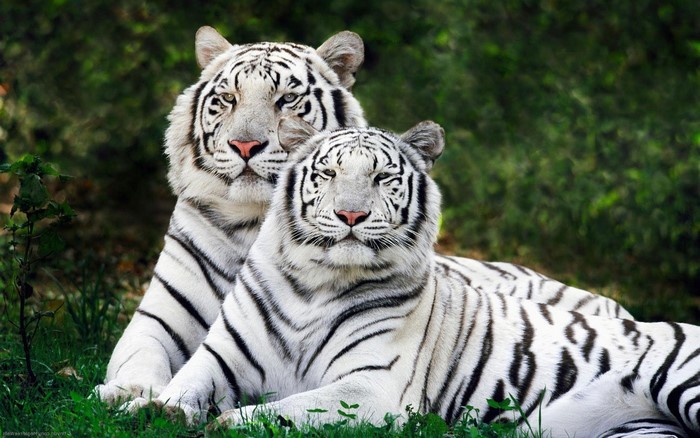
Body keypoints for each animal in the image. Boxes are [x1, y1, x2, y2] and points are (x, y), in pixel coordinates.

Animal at [96, 26, 631, 405]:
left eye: (287, 99)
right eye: (227, 99)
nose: (245, 145)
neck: (254, 222)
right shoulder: (158, 319)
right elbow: (139, 357)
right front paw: (126, 393)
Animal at [128, 119, 697, 437]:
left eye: (382, 177)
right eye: (328, 174)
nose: (351, 215)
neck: (315, 283)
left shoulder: (372, 386)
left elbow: (286, 408)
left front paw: (229, 423)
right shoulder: (221, 358)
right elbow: (183, 386)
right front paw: (148, 408)